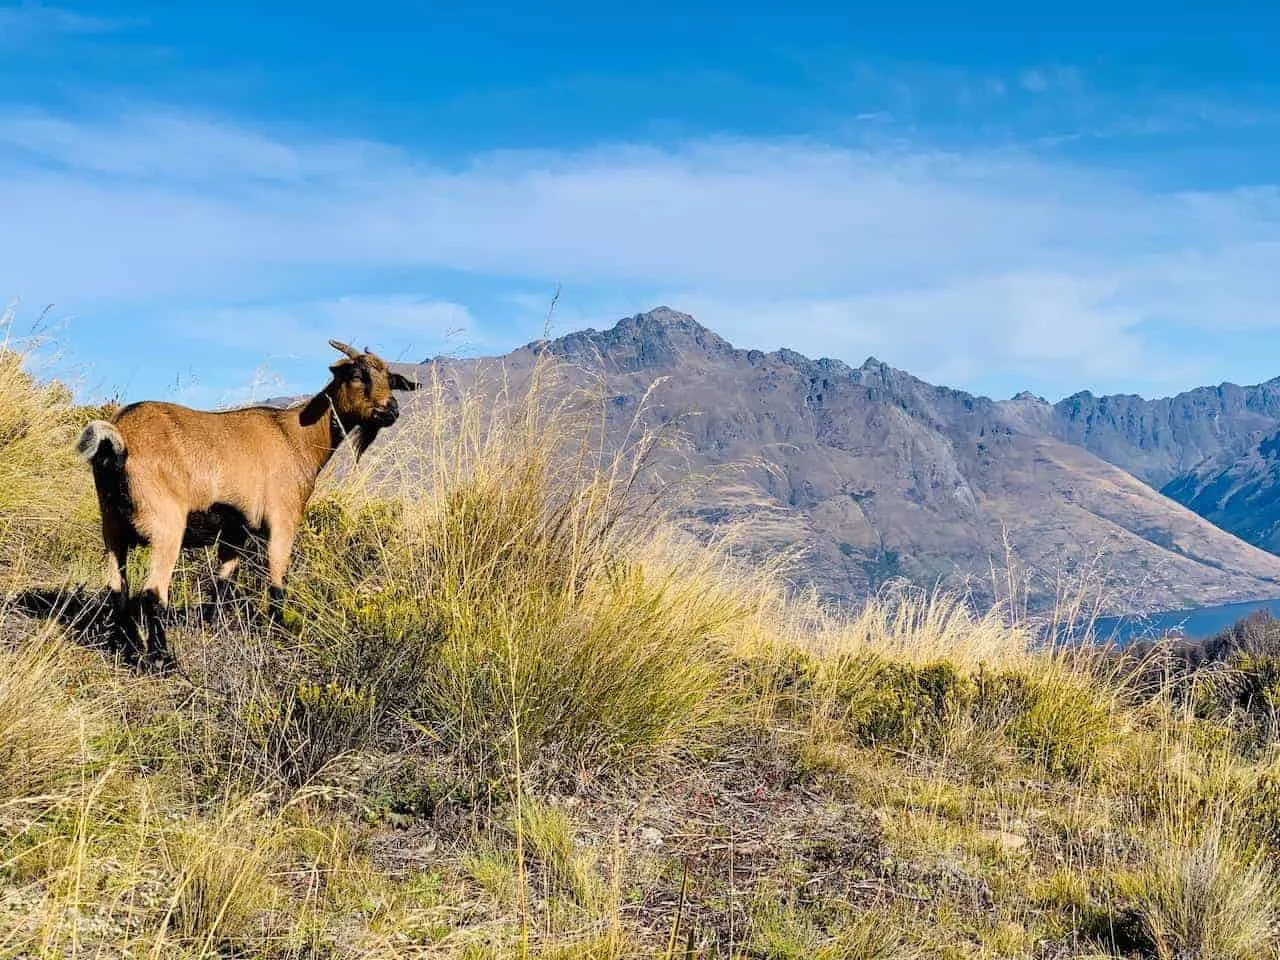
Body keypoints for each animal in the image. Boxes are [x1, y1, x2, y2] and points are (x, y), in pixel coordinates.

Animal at [76, 340, 419, 670]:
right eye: (358, 375)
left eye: (389, 379)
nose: (390, 410)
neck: (296, 437)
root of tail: (119, 438)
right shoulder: (283, 519)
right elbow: (277, 582)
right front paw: (279, 633)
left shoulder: (235, 532)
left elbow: (223, 582)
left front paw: (217, 629)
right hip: (166, 527)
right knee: (152, 593)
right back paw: (162, 660)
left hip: (112, 527)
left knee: (117, 589)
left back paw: (125, 647)